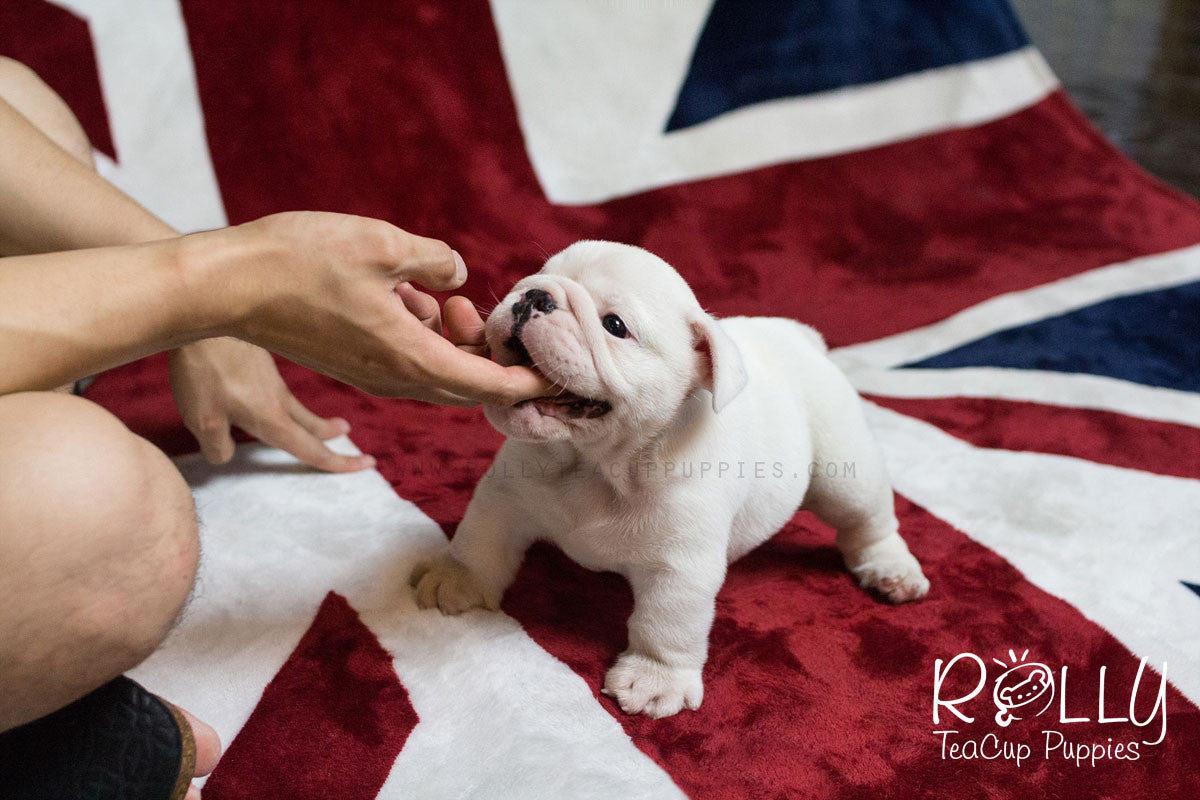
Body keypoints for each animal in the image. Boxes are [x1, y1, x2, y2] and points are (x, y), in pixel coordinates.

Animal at [412, 242, 926, 719]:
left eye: (615, 326)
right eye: (536, 275)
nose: (535, 295)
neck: (596, 464)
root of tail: (797, 337)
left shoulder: (680, 568)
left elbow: (665, 625)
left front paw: (655, 681)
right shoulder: (504, 498)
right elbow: (480, 541)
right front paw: (456, 580)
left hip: (844, 470)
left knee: (868, 520)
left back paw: (891, 570)